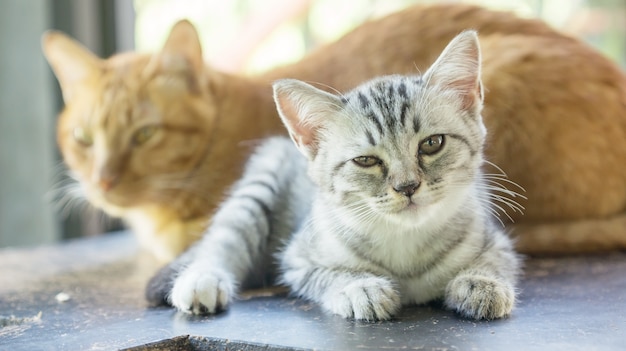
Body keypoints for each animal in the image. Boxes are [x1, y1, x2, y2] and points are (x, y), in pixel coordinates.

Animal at [146, 31, 516, 320]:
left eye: (432, 143)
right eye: (366, 160)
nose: (408, 186)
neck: (405, 243)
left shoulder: (497, 241)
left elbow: (495, 261)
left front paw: (481, 283)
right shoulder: (297, 260)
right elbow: (329, 275)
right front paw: (359, 287)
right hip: (256, 190)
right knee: (221, 242)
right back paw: (201, 279)